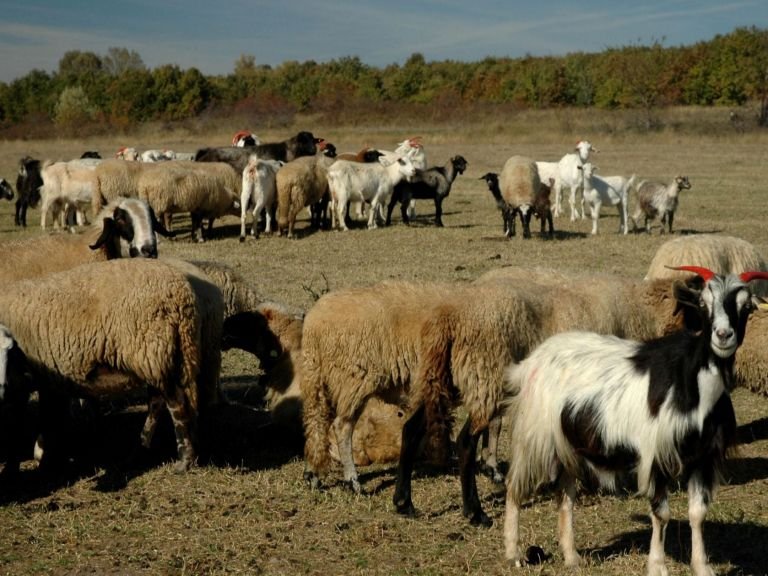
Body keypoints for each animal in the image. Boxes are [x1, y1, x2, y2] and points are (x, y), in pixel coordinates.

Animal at [0, 258, 225, 474]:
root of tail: (184, 293)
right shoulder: (48, 378)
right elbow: (47, 418)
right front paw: (45, 457)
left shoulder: (23, 381)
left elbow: (18, 426)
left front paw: (21, 465)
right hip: (172, 357)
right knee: (163, 403)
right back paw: (143, 451)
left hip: (156, 353)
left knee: (177, 403)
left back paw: (184, 460)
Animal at [498, 266, 768, 576]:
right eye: (703, 304)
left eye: (745, 307)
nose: (723, 336)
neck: (692, 384)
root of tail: (531, 362)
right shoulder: (656, 455)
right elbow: (661, 514)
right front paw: (658, 567)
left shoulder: (703, 457)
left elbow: (698, 513)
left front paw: (702, 567)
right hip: (534, 435)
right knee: (514, 487)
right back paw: (514, 553)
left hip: (567, 443)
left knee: (565, 494)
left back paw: (572, 556)